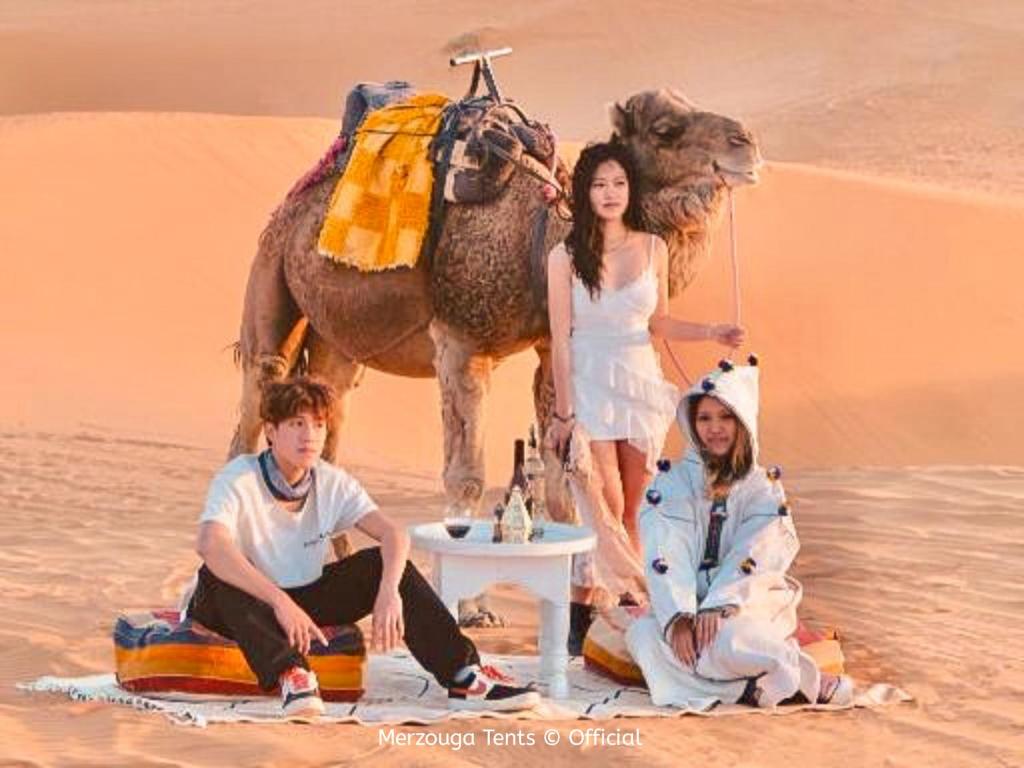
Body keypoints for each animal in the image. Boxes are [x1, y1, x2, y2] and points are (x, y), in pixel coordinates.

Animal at [232, 88, 761, 540]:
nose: (747, 143)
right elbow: (465, 476)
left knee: (331, 411)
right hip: (271, 269)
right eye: (664, 130)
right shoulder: (460, 340)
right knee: (260, 394)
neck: (539, 238)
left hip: (338, 340)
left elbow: (560, 481)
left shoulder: (552, 346)